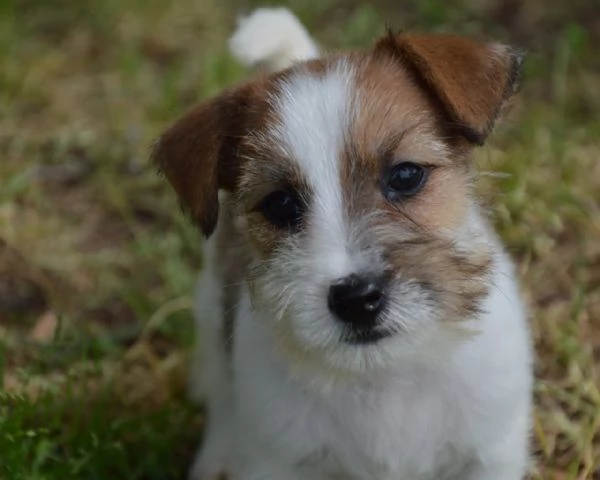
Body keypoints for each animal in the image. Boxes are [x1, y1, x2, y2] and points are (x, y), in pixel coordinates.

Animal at [152, 7, 532, 480]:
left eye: (406, 175)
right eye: (280, 204)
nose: (356, 299)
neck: (383, 375)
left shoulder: (490, 453)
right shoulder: (275, 460)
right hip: (210, 309)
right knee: (221, 392)